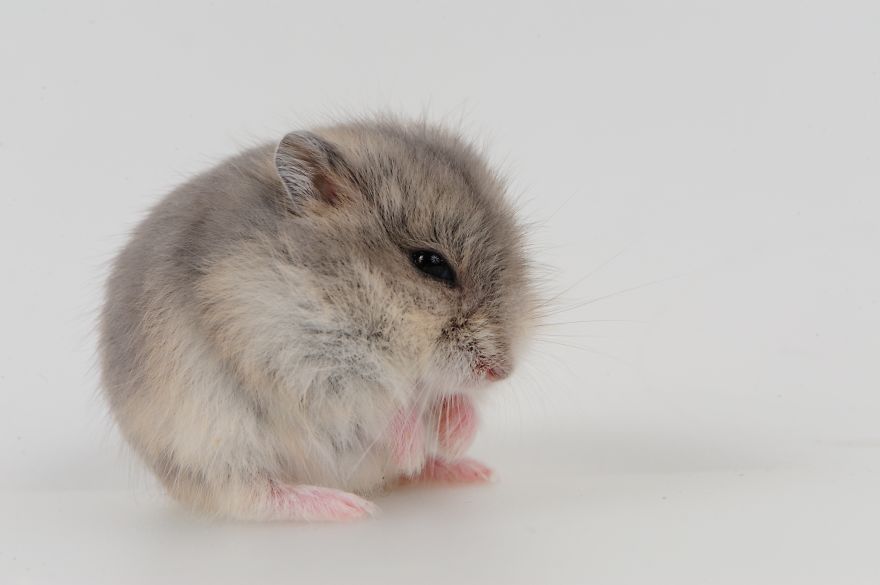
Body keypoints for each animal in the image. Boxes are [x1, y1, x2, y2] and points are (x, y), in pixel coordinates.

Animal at [99, 118, 536, 521]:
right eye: (430, 263)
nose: (502, 373)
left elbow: (452, 396)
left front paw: (454, 437)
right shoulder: (297, 361)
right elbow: (380, 405)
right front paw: (413, 445)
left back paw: (466, 468)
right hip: (210, 449)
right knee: (255, 495)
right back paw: (350, 506)